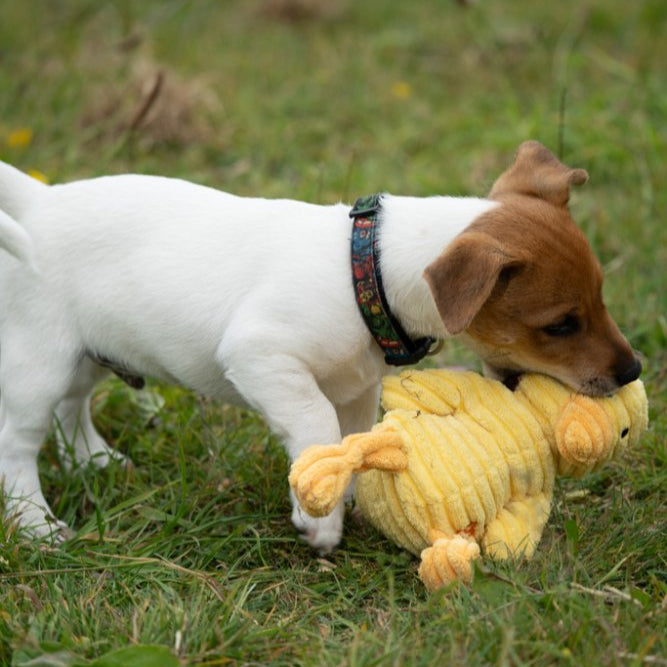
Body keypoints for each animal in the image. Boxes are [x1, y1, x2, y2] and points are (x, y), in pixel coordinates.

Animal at [0, 142, 640, 552]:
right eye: (560, 325)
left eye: (602, 298)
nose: (634, 371)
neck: (367, 269)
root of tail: (40, 202)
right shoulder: (262, 356)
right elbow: (317, 429)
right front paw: (321, 517)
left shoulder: (356, 388)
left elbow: (351, 441)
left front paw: (349, 495)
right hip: (40, 363)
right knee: (18, 445)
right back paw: (36, 525)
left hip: (88, 353)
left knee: (72, 408)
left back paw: (94, 460)